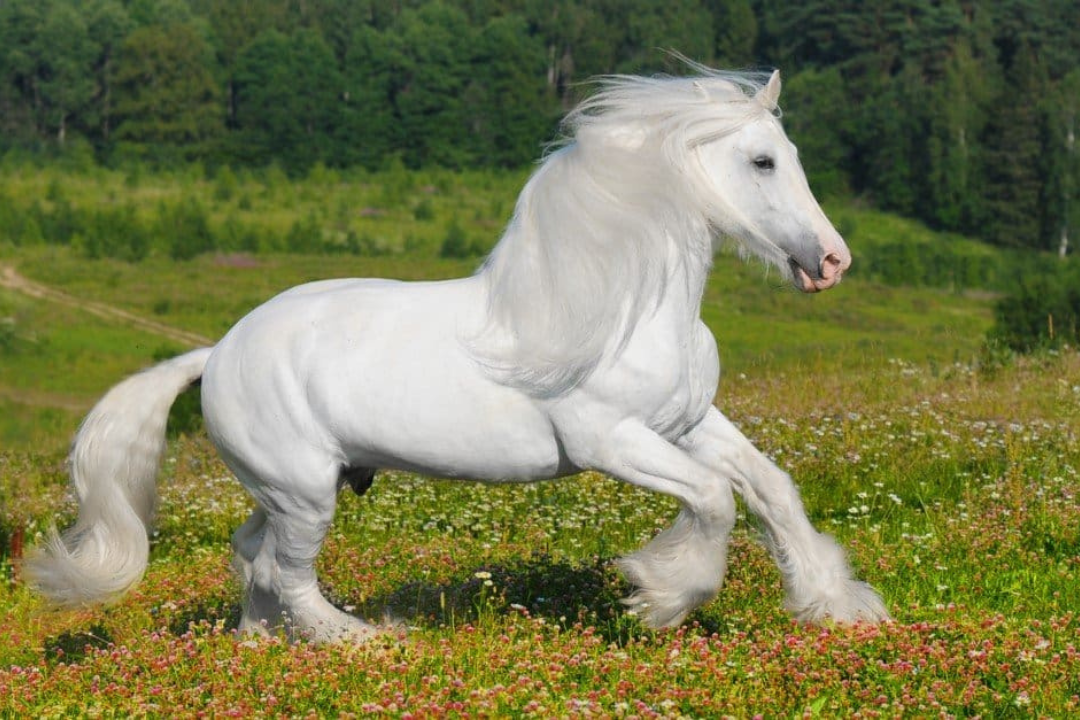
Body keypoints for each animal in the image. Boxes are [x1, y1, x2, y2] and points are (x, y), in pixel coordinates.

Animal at [27, 66, 885, 643]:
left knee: (249, 556)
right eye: (763, 161)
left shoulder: (687, 423)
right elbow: (712, 499)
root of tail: (214, 353)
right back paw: (361, 642)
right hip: (304, 492)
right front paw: (657, 594)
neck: (625, 308)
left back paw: (262, 642)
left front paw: (839, 607)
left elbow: (769, 488)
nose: (832, 262)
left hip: (286, 487)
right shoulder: (610, 441)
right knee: (284, 570)